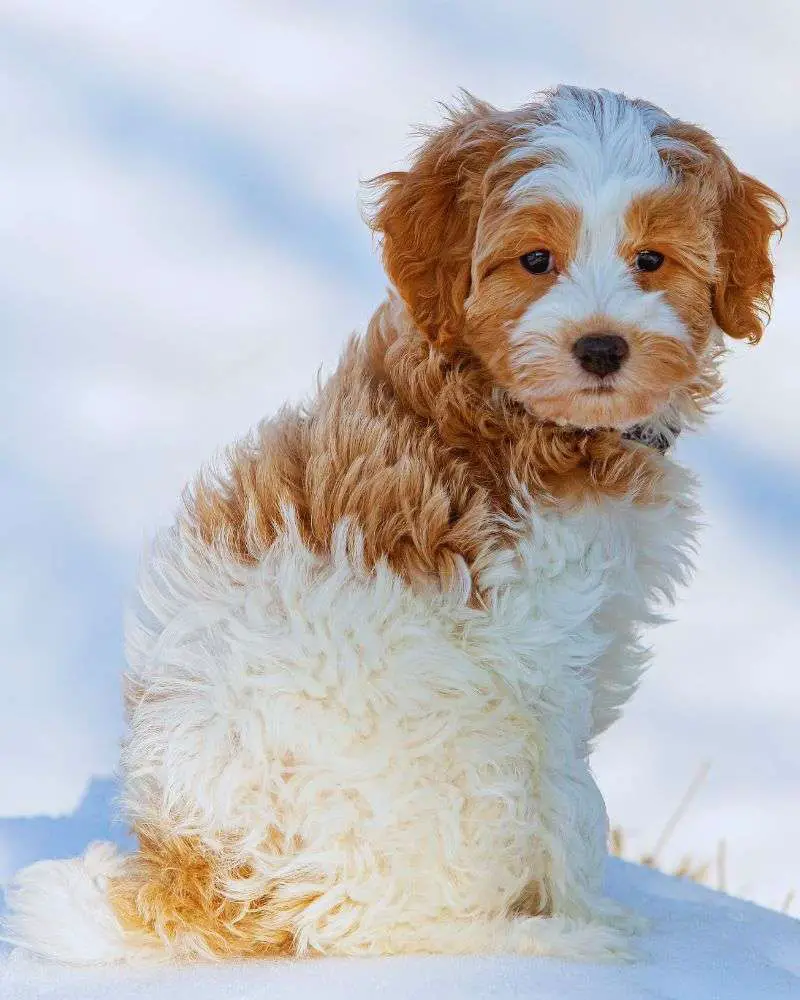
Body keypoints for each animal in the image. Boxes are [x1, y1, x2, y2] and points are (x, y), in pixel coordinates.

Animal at [4, 88, 780, 968]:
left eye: (651, 261)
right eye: (535, 261)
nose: (601, 348)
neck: (519, 415)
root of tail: (205, 880)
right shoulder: (542, 657)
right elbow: (578, 810)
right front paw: (596, 916)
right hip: (461, 775)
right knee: (398, 923)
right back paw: (546, 939)